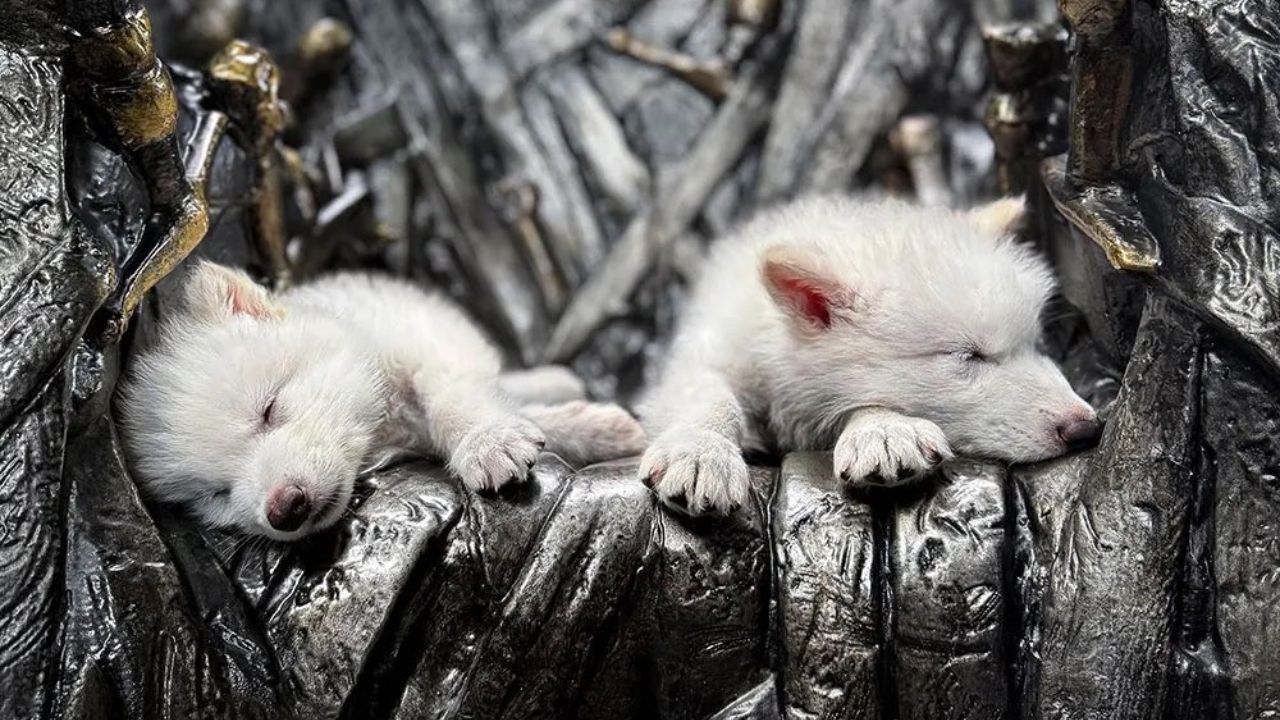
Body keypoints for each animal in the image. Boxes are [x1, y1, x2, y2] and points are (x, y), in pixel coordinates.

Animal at [119, 262, 646, 540]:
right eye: (217, 494)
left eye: (268, 409)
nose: (283, 509)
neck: (381, 425)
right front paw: (592, 430)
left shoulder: (430, 344)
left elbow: (453, 398)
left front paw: (487, 441)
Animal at [638, 195, 1100, 513]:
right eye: (968, 355)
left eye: (1035, 345)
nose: (1087, 429)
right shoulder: (709, 351)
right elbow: (709, 395)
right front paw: (700, 452)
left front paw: (883, 430)